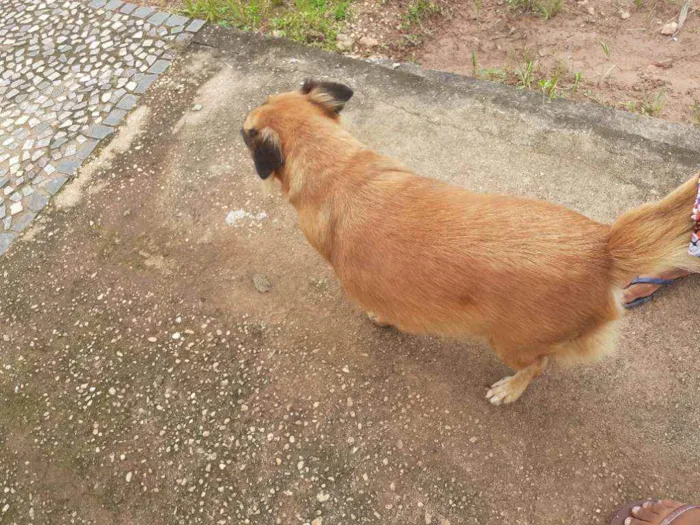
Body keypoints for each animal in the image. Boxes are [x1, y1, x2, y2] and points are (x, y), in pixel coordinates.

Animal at [242, 80, 700, 404]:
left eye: (246, 132)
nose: (236, 127)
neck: (340, 170)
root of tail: (602, 247)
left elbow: (383, 309)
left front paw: (380, 319)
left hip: (510, 343)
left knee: (538, 365)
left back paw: (511, 388)